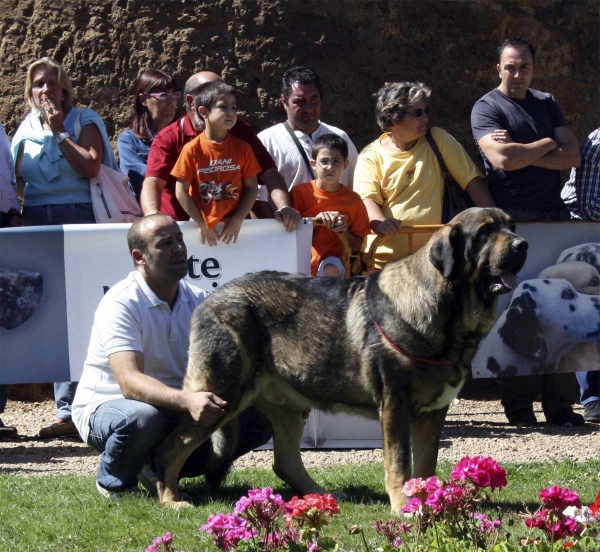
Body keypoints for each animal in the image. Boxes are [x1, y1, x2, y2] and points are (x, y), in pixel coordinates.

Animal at [154, 208, 524, 512]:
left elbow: (426, 465)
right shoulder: (395, 406)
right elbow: (400, 462)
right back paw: (171, 500)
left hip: (287, 406)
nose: (522, 245)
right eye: (485, 232)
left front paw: (427, 499)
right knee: (171, 447)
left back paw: (322, 495)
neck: (447, 310)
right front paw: (403, 503)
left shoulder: (432, 413)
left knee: (284, 461)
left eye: (511, 226)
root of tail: (209, 298)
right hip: (220, 396)